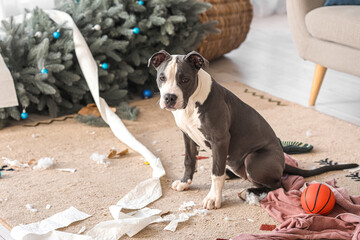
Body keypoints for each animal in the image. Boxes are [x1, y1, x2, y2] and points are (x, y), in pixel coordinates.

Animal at [148, 50, 358, 210]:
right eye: (162, 78)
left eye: (184, 79)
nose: (169, 98)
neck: (191, 104)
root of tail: (282, 163)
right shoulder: (188, 136)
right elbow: (189, 161)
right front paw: (185, 182)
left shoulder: (220, 139)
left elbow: (215, 173)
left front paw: (213, 198)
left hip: (253, 159)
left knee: (277, 184)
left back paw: (248, 191)